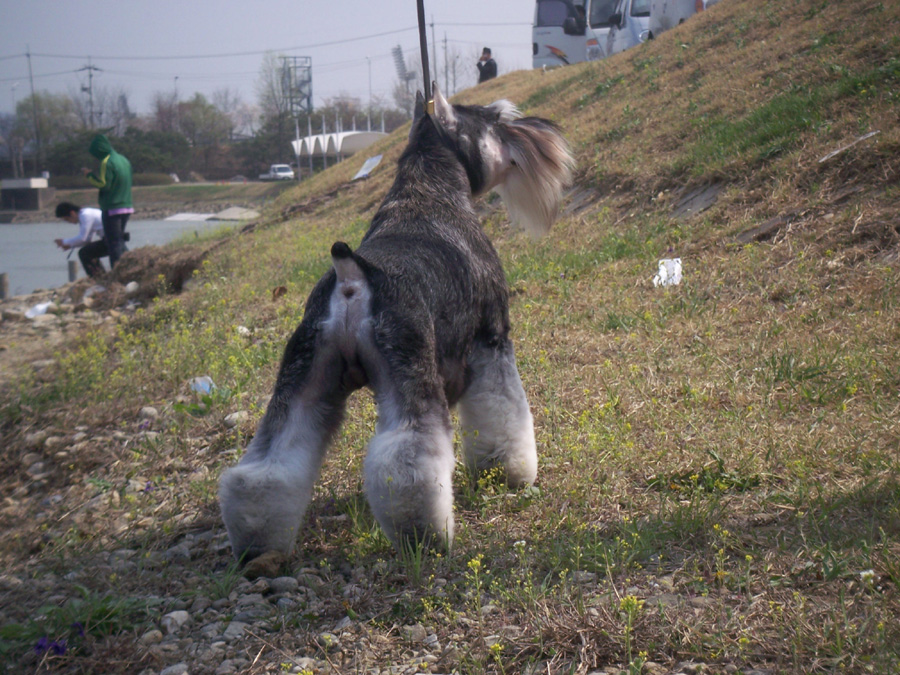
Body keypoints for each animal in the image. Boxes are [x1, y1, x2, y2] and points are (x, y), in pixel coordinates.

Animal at [219, 83, 572, 572]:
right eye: (499, 121)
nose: (544, 135)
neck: (431, 192)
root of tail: (351, 278)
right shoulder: (492, 342)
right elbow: (504, 414)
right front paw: (509, 472)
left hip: (301, 378)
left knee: (265, 467)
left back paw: (257, 545)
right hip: (410, 375)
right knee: (406, 467)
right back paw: (425, 538)